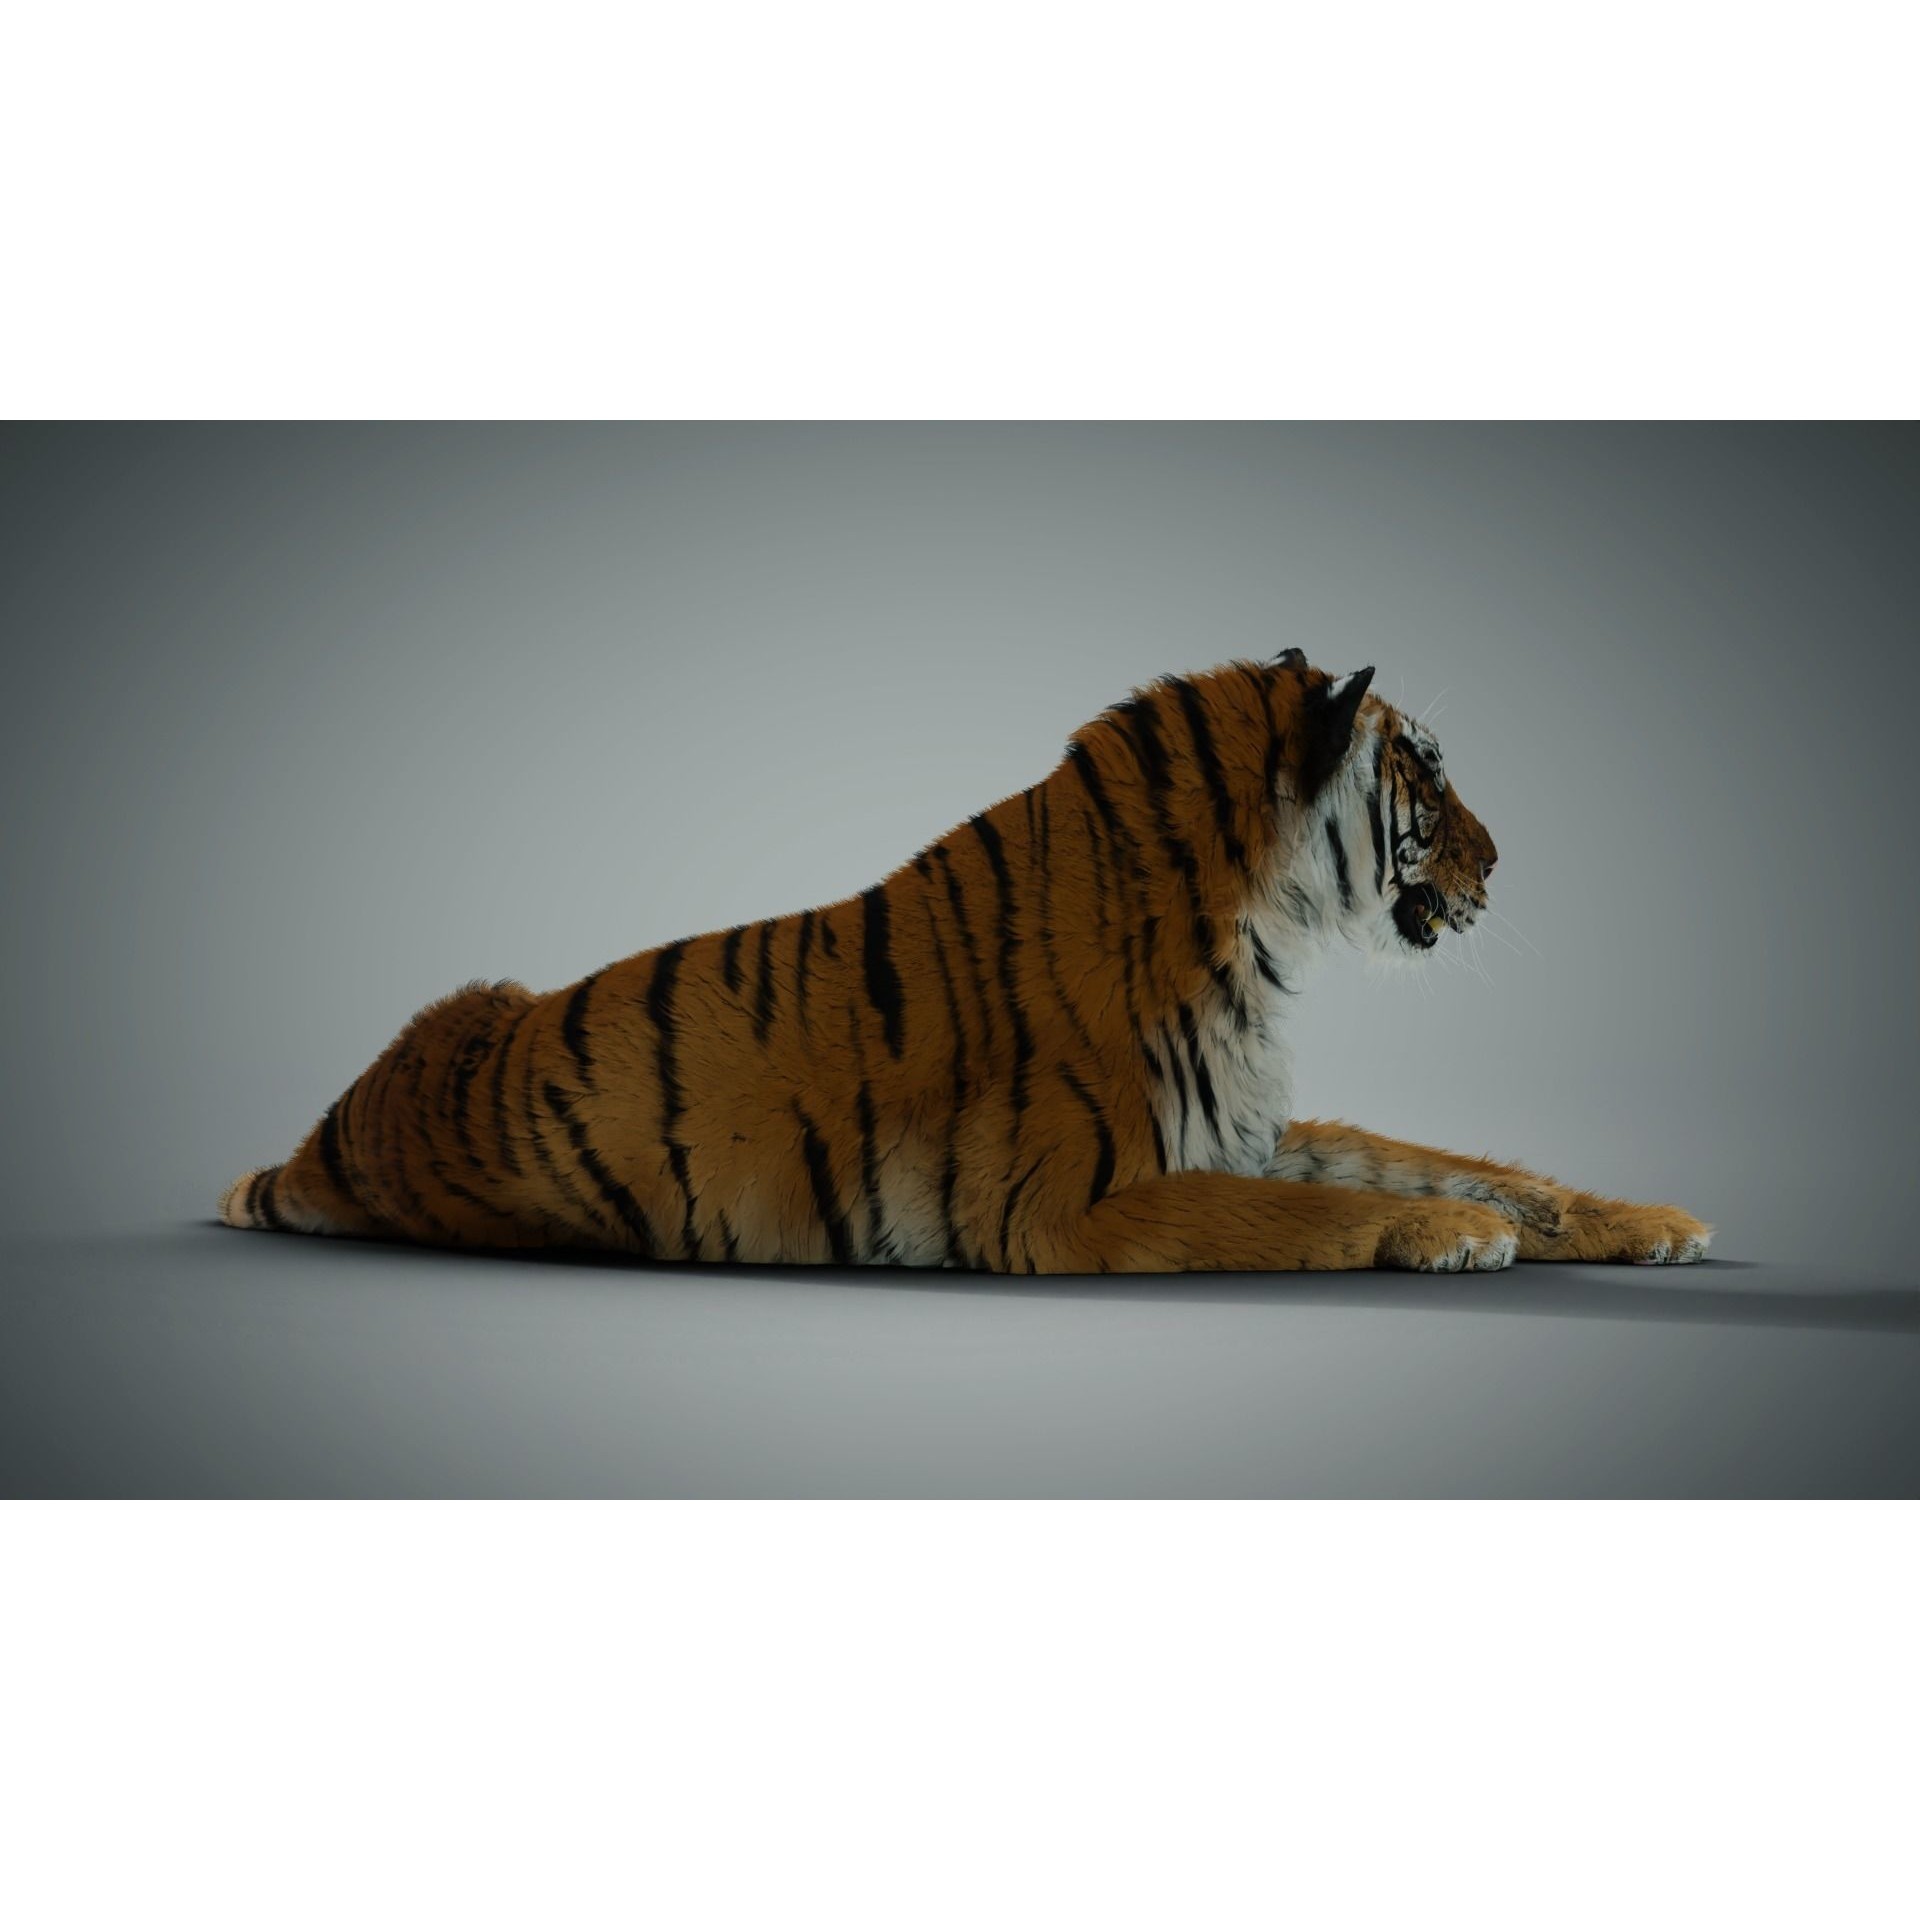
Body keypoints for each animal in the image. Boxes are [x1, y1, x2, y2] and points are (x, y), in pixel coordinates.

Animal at [219, 650, 1712, 1274]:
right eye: (1429, 776)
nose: (1504, 862)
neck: (1260, 929)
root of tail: (326, 1129)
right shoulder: (1063, 1207)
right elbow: (1303, 1218)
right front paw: (1452, 1239)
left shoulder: (1245, 1127)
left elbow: (1438, 1160)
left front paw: (1651, 1223)